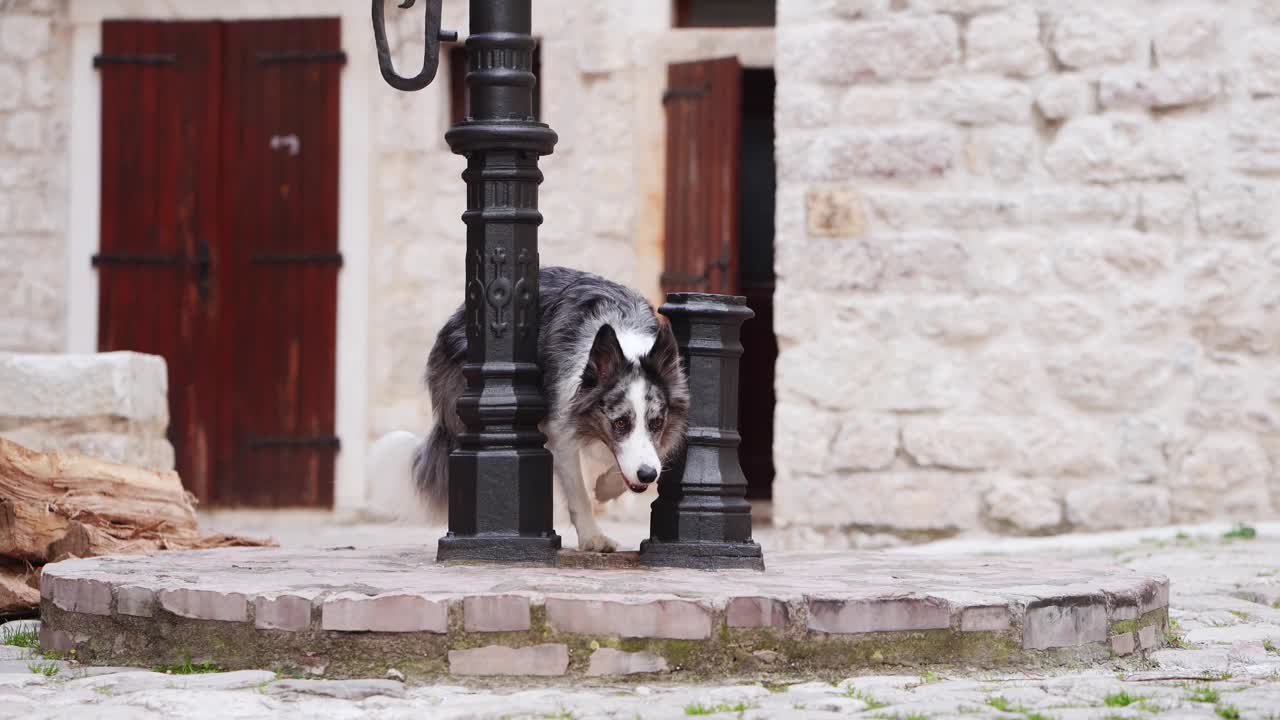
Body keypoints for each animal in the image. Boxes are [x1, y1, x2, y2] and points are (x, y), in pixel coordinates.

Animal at [371, 265, 691, 548]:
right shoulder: (561, 431)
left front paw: (606, 488)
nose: (648, 477)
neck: (625, 341)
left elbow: (645, 457)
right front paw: (592, 537)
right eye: (620, 422)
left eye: (656, 423)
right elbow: (578, 492)